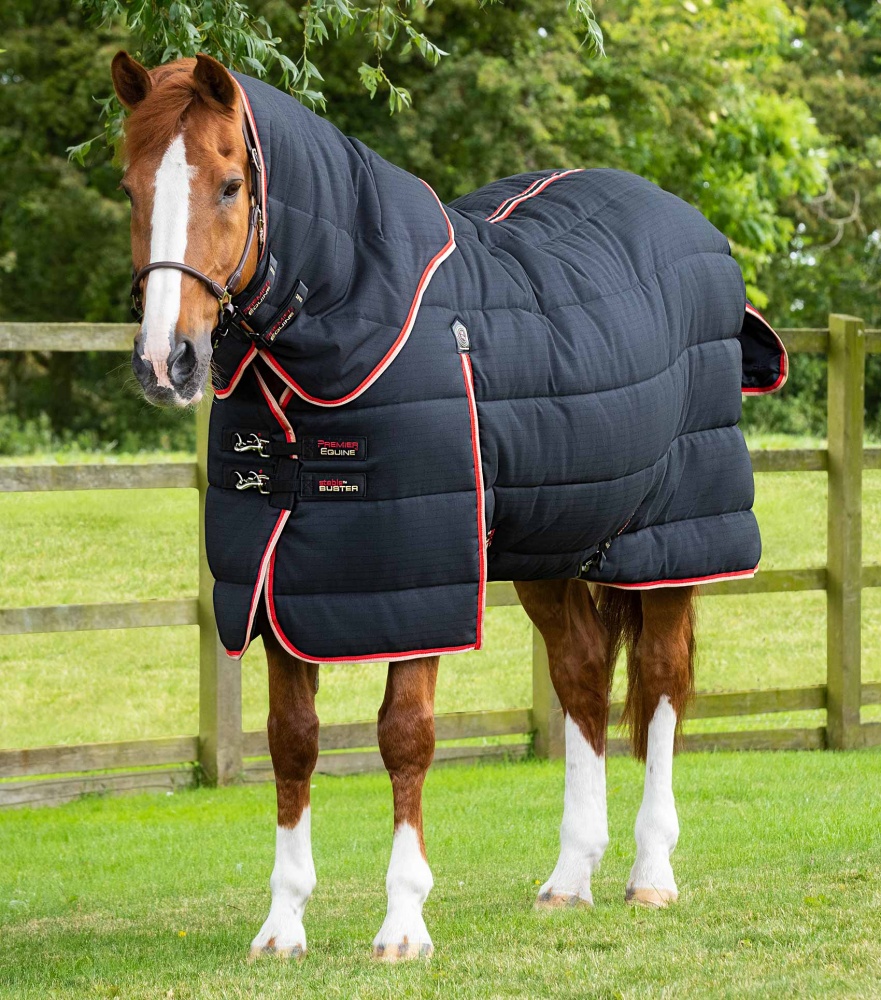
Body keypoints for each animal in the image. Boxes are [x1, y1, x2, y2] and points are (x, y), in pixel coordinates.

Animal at [110, 50, 784, 961]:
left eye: (228, 184)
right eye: (131, 185)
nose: (165, 361)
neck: (356, 322)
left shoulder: (418, 587)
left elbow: (405, 737)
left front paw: (402, 924)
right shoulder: (280, 586)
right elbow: (292, 743)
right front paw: (282, 926)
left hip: (672, 544)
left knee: (660, 682)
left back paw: (650, 874)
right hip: (550, 547)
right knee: (580, 676)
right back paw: (570, 878)